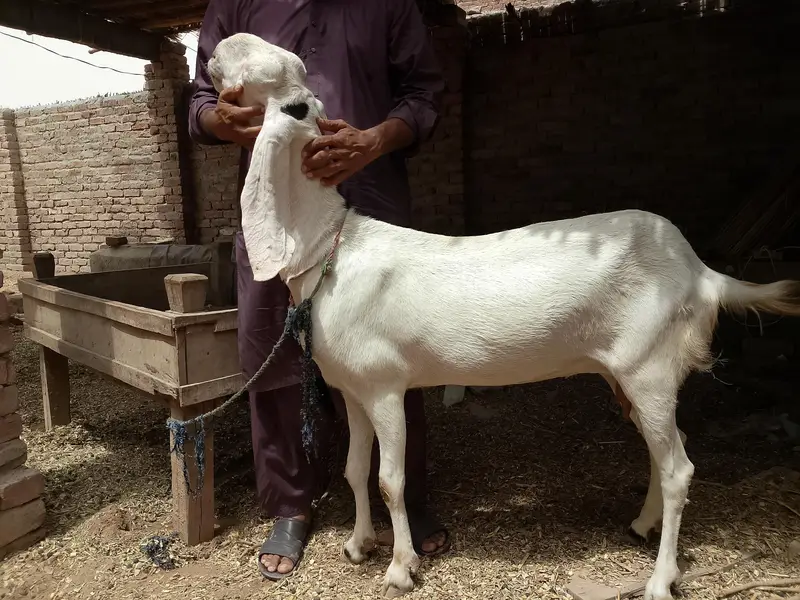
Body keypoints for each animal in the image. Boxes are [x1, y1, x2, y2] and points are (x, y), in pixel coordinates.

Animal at [208, 32, 800, 600]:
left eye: (288, 93)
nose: (214, 50)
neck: (332, 247)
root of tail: (701, 272)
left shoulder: (385, 386)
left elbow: (391, 481)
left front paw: (401, 568)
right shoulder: (353, 387)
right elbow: (355, 471)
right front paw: (358, 546)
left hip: (649, 367)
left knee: (679, 468)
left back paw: (659, 580)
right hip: (630, 375)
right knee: (665, 453)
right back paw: (642, 525)